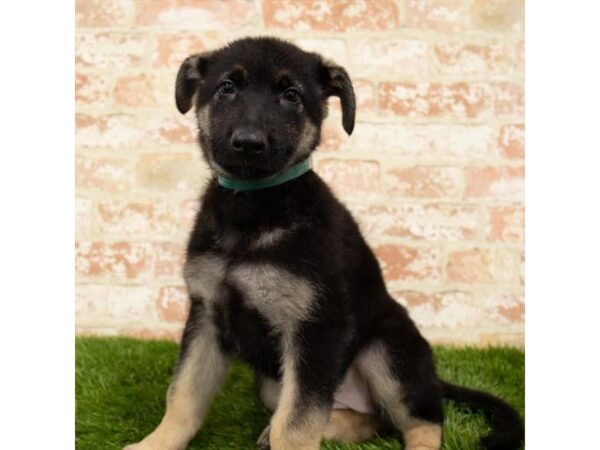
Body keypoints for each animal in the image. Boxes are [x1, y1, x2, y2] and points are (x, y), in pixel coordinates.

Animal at [124, 37, 524, 450]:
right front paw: (155, 443)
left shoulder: (315, 328)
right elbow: (184, 394)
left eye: (291, 95)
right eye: (227, 87)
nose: (248, 143)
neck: (254, 208)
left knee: (422, 422)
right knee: (367, 419)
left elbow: (296, 424)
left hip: (387, 351)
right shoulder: (206, 316)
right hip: (273, 381)